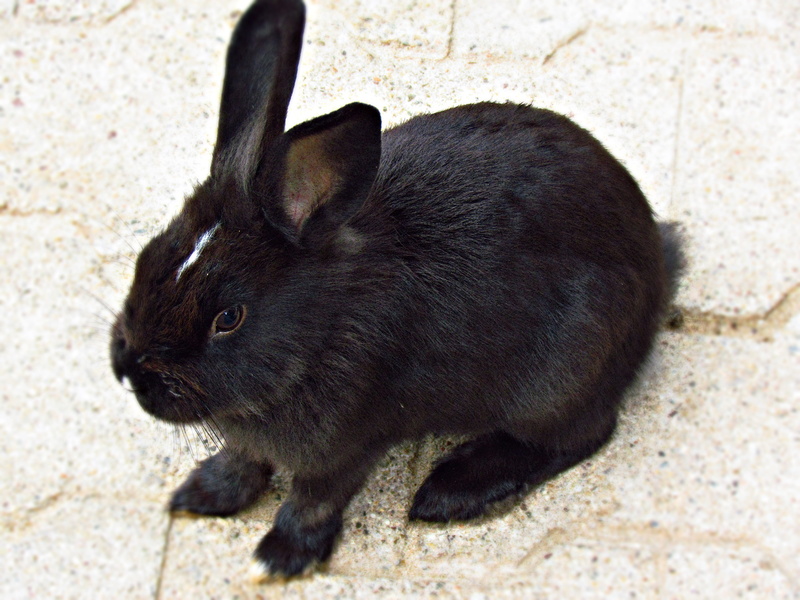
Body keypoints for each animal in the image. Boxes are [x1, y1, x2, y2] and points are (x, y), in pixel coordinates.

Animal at [110, 0, 684, 581]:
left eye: (229, 317)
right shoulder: (254, 438)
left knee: (581, 435)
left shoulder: (346, 445)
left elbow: (313, 498)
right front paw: (201, 495)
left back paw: (450, 492)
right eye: (147, 256)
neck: (319, 326)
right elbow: (242, 461)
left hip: (565, 371)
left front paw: (280, 557)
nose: (130, 372)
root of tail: (658, 268)